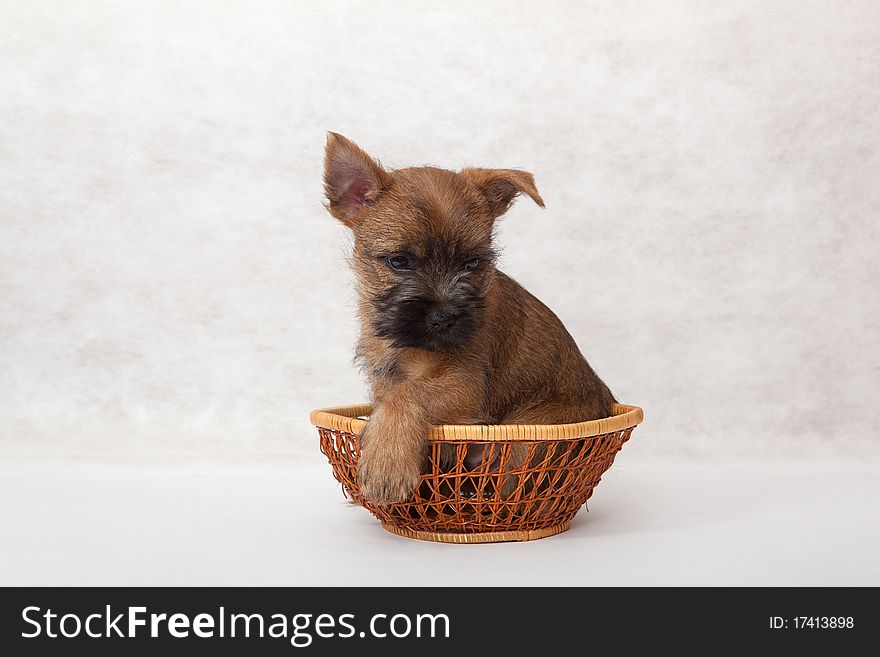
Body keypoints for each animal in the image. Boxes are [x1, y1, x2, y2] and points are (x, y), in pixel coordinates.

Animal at [320, 132, 616, 502]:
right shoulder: (385, 383)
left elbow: (409, 394)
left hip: (527, 436)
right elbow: (391, 400)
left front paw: (386, 461)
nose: (445, 318)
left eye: (472, 263)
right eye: (399, 261)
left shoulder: (465, 383)